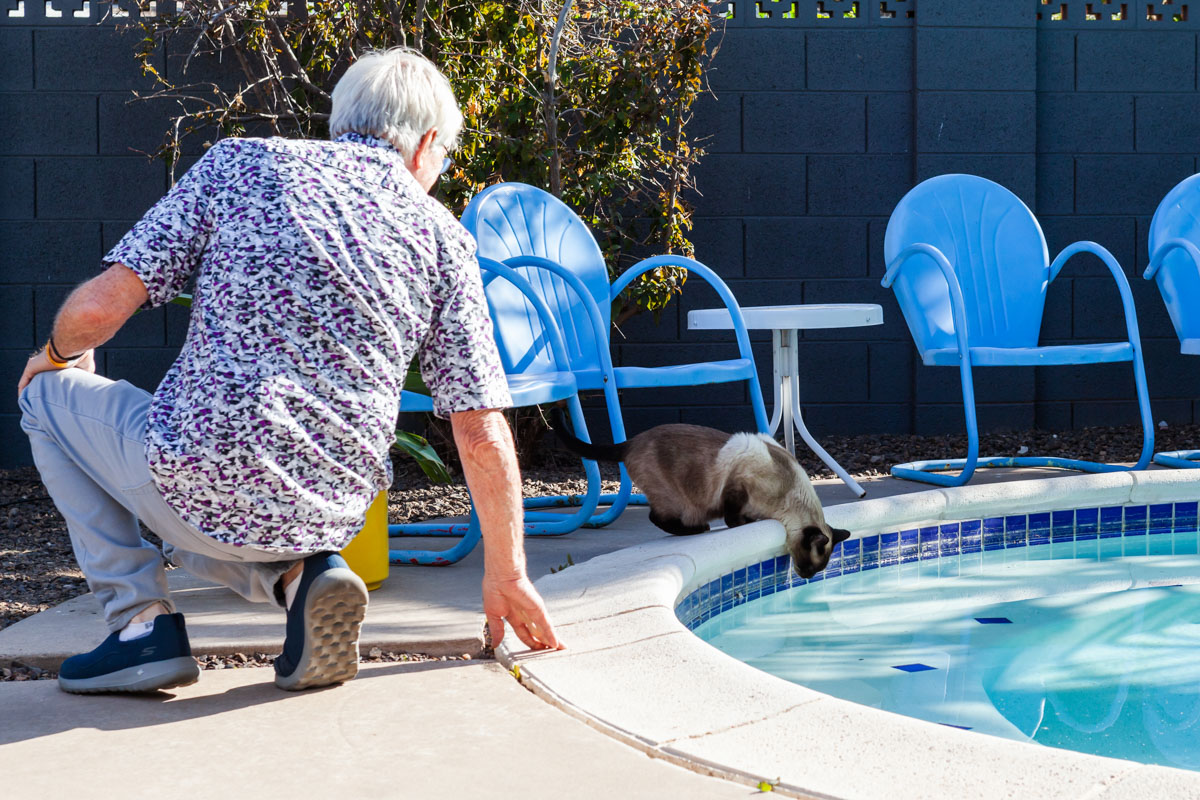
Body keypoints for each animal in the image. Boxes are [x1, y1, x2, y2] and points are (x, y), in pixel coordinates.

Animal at [549, 410, 849, 578]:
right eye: (810, 566)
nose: (807, 577)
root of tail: (632, 441)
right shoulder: (737, 489)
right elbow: (733, 518)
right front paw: (745, 523)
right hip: (676, 500)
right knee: (656, 518)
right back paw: (696, 530)